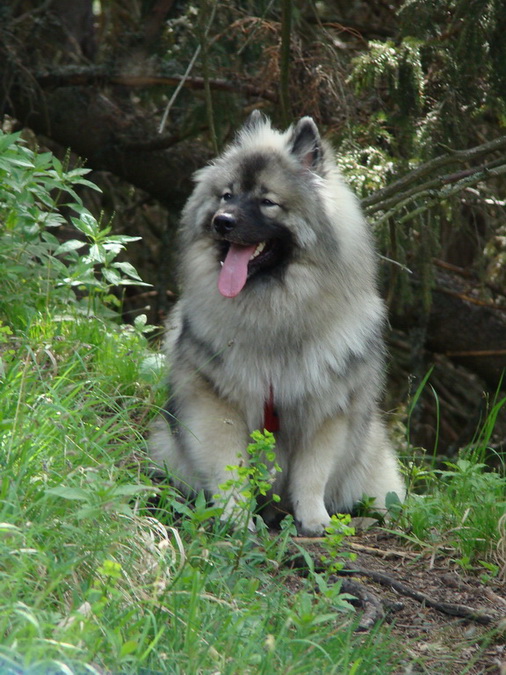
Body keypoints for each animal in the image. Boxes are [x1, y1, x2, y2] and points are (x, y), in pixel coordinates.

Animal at [149, 111, 404, 536]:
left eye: (267, 202)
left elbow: (312, 473)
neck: (274, 314)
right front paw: (236, 516)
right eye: (227, 195)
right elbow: (230, 466)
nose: (222, 221)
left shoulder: (326, 411)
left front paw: (314, 520)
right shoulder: (218, 403)